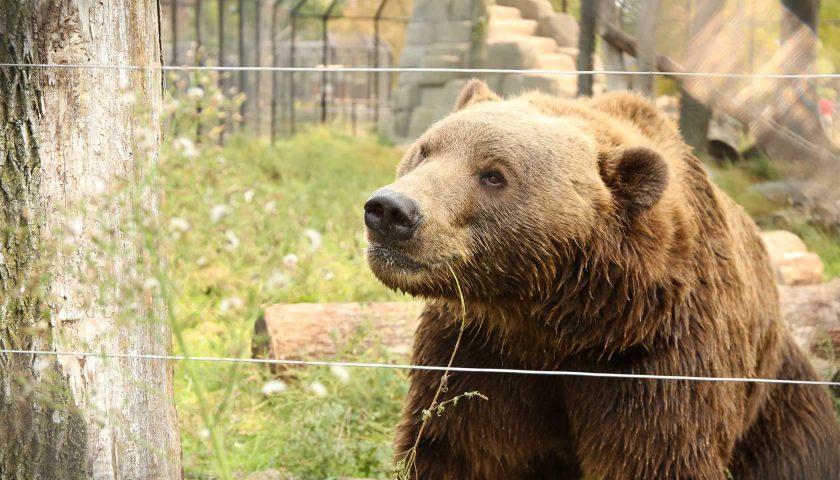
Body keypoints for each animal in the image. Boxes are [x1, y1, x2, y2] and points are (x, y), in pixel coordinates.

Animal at [363, 79, 840, 480]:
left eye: (494, 173)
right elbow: (458, 445)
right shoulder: (477, 350)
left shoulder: (657, 361)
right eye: (426, 150)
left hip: (780, 401)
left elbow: (656, 456)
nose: (391, 210)